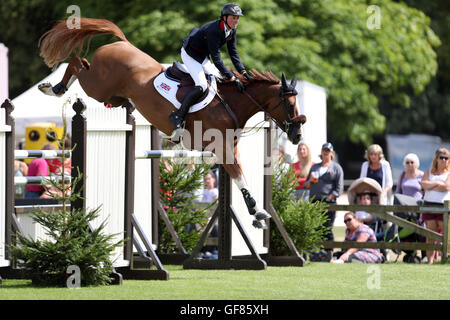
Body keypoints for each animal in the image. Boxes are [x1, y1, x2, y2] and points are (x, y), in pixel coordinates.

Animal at [38, 18, 306, 228]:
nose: (297, 137)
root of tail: (122, 43)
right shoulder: (221, 148)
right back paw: (52, 88)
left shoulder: (231, 147)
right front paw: (256, 211)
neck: (232, 102)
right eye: (290, 105)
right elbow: (239, 175)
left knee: (86, 69)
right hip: (97, 86)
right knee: (76, 63)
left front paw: (257, 212)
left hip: (110, 95)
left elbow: (241, 174)